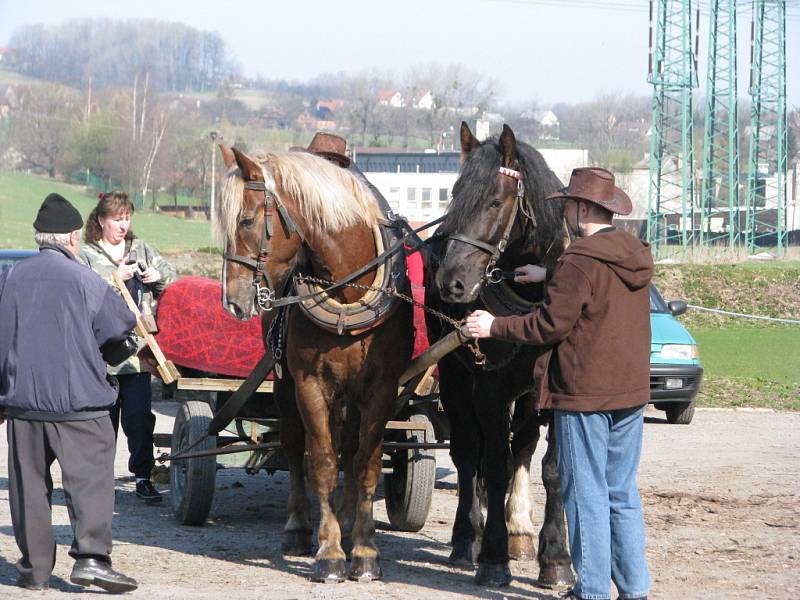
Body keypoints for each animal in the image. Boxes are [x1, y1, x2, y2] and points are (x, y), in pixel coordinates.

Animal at [216, 145, 412, 580]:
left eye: (246, 220)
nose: (233, 301)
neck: (347, 290)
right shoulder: (309, 384)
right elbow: (319, 462)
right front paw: (330, 553)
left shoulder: (381, 388)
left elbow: (365, 463)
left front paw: (365, 550)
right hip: (285, 383)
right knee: (293, 446)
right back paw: (299, 527)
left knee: (350, 450)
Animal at [424, 122, 576, 584]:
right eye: (454, 195)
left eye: (495, 201)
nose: (451, 281)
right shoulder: (489, 391)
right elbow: (491, 464)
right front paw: (492, 555)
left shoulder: (556, 392)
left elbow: (554, 469)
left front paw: (556, 557)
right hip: (456, 377)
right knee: (468, 451)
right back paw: (465, 537)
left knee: (522, 444)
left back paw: (518, 529)